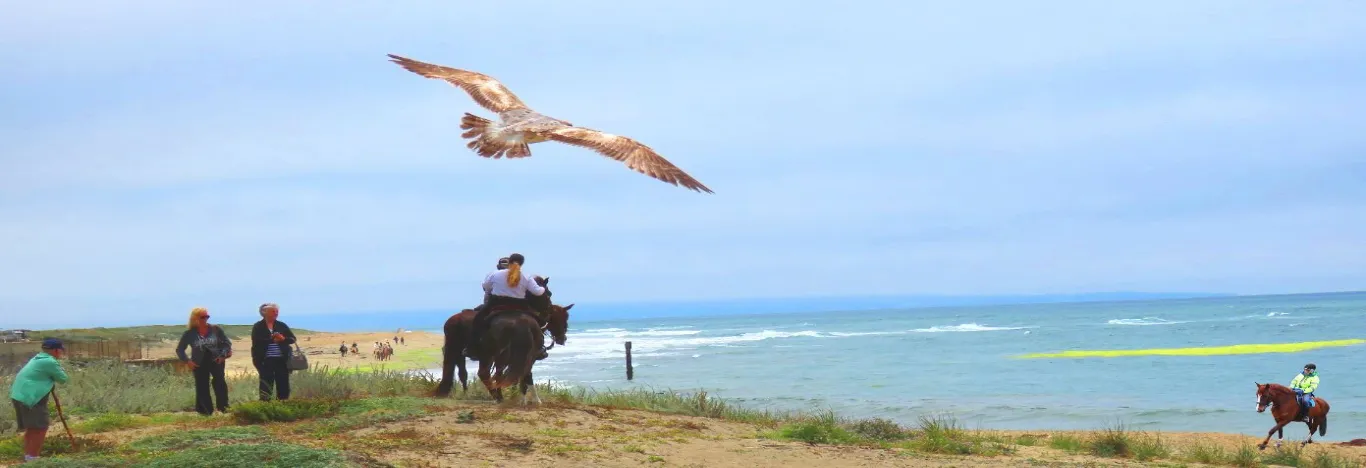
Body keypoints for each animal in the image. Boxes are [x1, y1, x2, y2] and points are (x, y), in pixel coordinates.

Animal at [431, 276, 570, 401]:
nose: (562, 338)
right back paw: (495, 396)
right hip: (487, 354)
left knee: (463, 373)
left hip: (461, 351)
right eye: (548, 294)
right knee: (482, 373)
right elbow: (523, 376)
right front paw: (527, 399)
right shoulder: (526, 357)